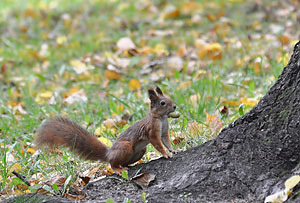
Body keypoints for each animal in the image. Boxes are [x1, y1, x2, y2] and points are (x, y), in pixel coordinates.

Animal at [37, 85, 178, 173]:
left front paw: (174, 150)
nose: (175, 106)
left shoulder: (164, 132)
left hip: (140, 151)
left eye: (169, 98)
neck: (161, 118)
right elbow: (158, 144)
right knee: (113, 164)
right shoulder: (152, 131)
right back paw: (119, 169)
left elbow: (166, 141)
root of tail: (108, 154)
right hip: (125, 147)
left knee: (123, 162)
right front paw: (166, 154)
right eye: (163, 103)